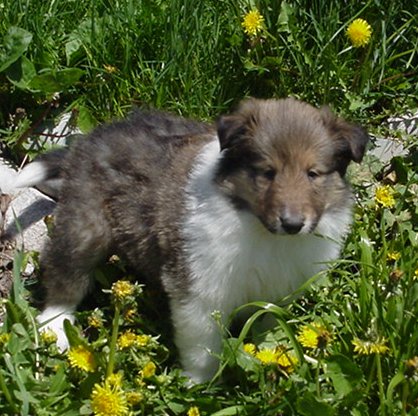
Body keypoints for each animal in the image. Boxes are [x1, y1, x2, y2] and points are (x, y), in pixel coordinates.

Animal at [17, 97, 370, 384]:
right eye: (267, 172)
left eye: (313, 173)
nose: (293, 223)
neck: (261, 230)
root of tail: (94, 136)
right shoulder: (200, 290)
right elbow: (202, 347)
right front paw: (196, 385)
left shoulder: (282, 291)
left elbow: (268, 323)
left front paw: (268, 355)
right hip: (85, 223)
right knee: (66, 272)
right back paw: (55, 325)